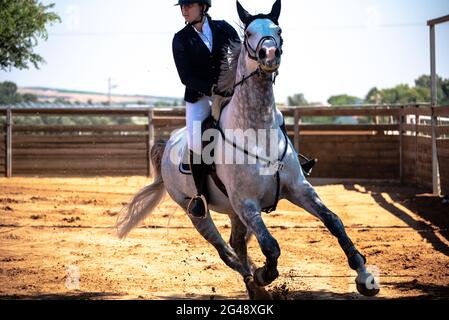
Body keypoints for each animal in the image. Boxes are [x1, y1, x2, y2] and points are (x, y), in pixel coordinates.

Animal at [115, 0, 378, 300]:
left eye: (278, 30)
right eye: (249, 33)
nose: (270, 54)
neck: (256, 130)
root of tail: (167, 142)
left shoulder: (299, 189)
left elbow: (334, 222)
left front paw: (365, 276)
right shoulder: (247, 203)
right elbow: (271, 246)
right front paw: (264, 274)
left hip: (233, 212)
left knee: (237, 243)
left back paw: (255, 285)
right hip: (197, 212)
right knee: (226, 251)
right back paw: (254, 283)